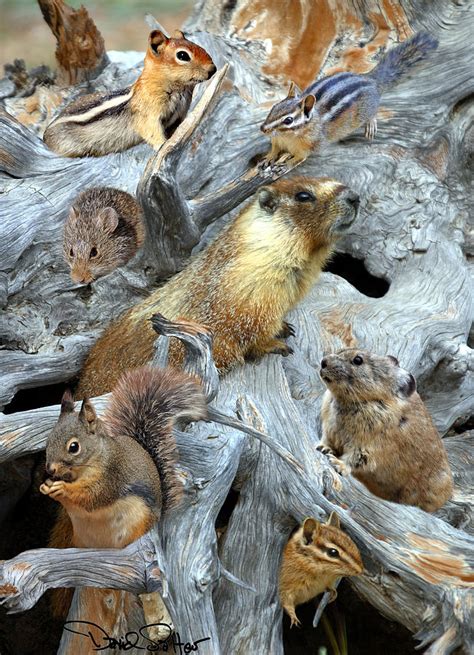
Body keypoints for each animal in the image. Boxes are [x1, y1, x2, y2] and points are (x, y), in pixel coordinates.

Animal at [42, 31, 217, 159]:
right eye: (182, 56)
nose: (213, 69)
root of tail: (44, 136)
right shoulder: (148, 114)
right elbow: (151, 131)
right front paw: (162, 145)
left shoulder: (179, 115)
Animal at [78, 177, 360, 398]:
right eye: (304, 195)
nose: (355, 196)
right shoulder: (252, 281)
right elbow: (249, 323)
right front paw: (274, 344)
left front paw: (284, 327)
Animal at [262, 30, 438, 164]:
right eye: (274, 107)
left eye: (288, 120)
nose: (263, 128)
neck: (288, 137)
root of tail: (369, 79)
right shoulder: (277, 141)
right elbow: (274, 148)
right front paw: (269, 156)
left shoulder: (311, 145)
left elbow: (302, 156)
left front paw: (289, 160)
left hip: (367, 109)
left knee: (372, 113)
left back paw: (371, 123)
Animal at [316, 348, 454, 512]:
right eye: (341, 350)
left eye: (358, 360)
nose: (323, 362)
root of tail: (448, 493)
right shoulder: (329, 429)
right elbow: (326, 440)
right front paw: (323, 448)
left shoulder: (368, 448)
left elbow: (354, 460)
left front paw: (337, 463)